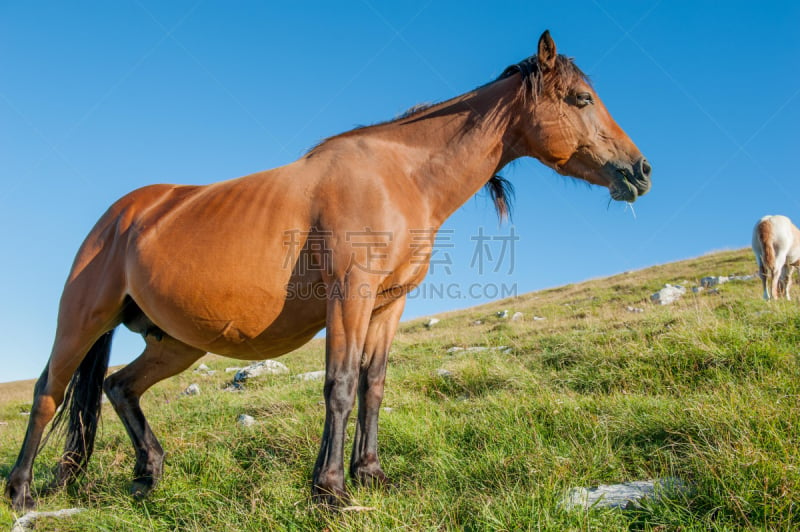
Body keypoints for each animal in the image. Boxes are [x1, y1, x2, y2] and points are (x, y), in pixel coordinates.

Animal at [3, 30, 648, 512]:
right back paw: (23, 492)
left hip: (176, 342)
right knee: (47, 393)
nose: (640, 170)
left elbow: (372, 386)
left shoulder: (388, 304)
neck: (400, 178)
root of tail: (121, 215)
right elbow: (338, 386)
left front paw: (371, 474)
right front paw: (331, 489)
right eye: (581, 99)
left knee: (118, 387)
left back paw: (149, 475)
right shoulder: (350, 296)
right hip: (83, 319)